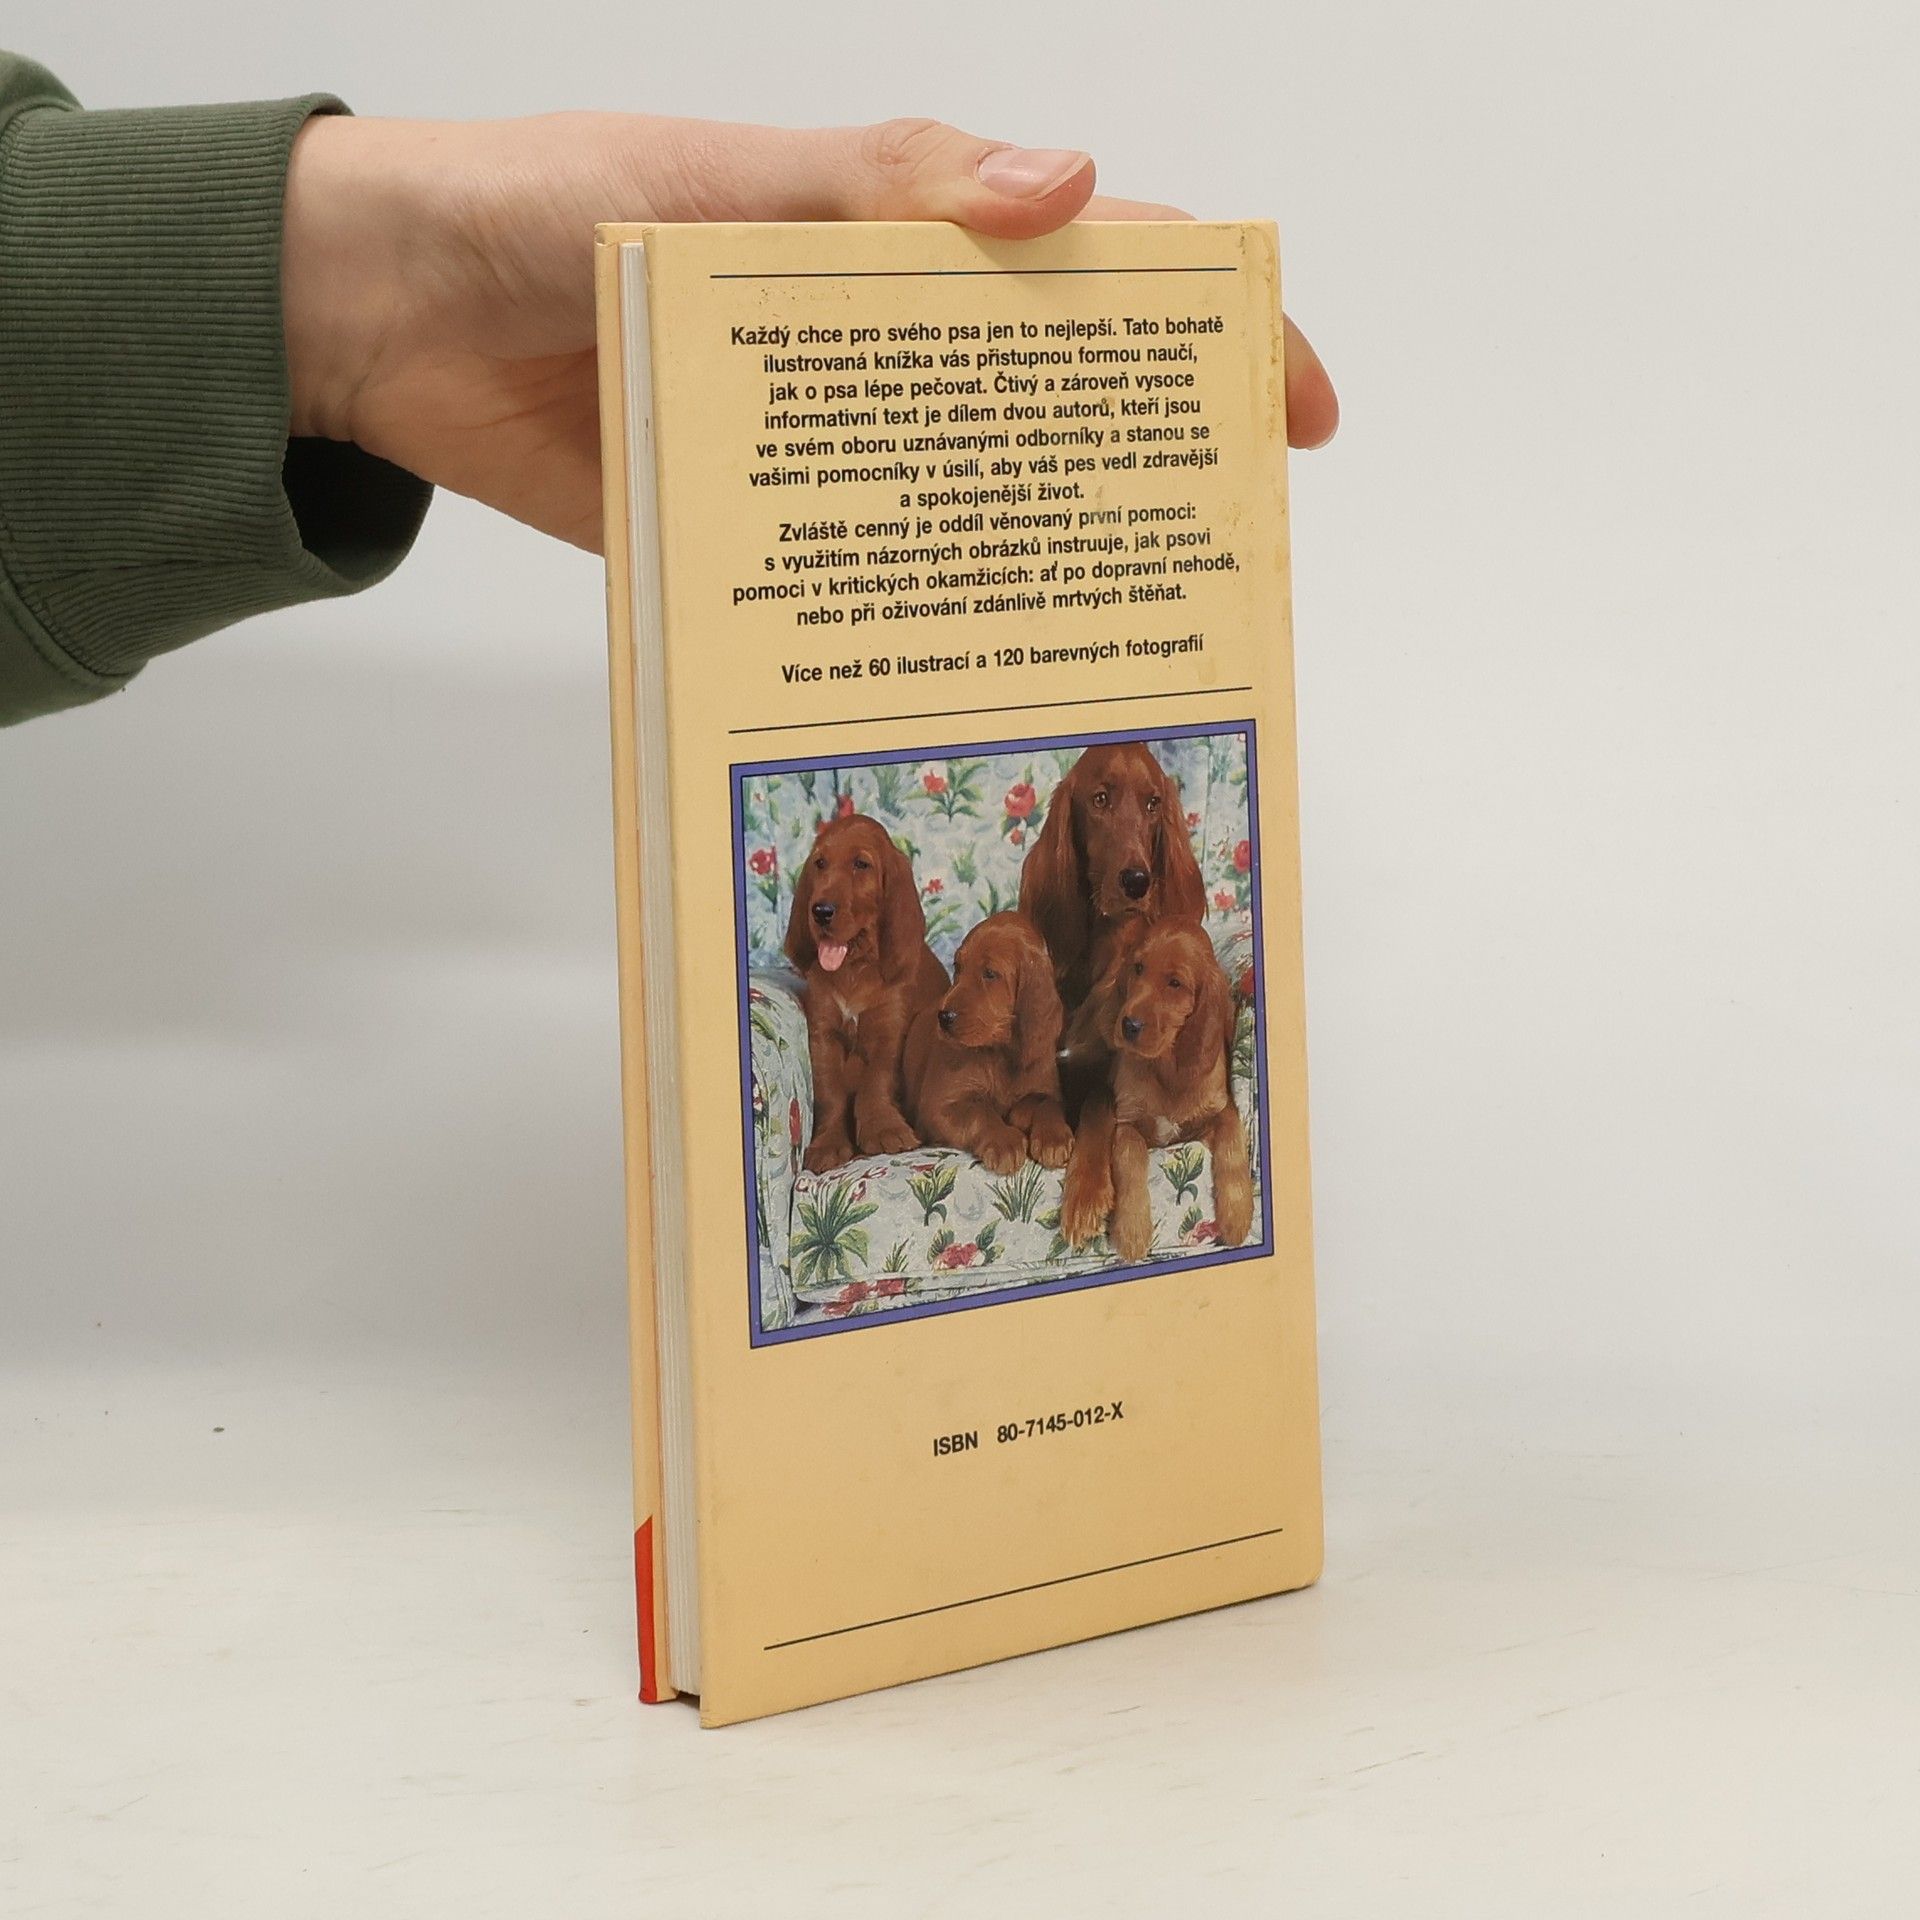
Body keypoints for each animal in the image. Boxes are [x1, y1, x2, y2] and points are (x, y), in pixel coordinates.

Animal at [785, 814, 948, 1173]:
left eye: (861, 864)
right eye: (820, 863)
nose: (821, 911)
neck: (854, 968)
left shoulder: (891, 1031)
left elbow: (876, 1081)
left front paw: (884, 1130)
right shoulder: (823, 1035)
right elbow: (830, 1092)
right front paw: (829, 1144)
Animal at [903, 913, 1074, 1175]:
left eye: (990, 974)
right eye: (958, 967)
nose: (944, 1017)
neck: (1001, 1052)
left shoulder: (1048, 1088)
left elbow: (1048, 1103)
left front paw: (1053, 1137)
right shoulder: (939, 1106)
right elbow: (980, 1112)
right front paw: (1004, 1141)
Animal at [1059, 917, 1253, 1263]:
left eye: (1175, 983)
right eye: (1138, 968)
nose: (1129, 1025)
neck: (1166, 1067)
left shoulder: (1217, 1112)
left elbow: (1233, 1143)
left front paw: (1238, 1215)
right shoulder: (1129, 1123)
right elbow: (1130, 1160)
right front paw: (1132, 1232)